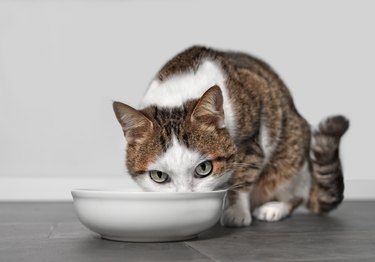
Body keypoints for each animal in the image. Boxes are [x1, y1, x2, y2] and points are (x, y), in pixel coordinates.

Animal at [112, 46, 350, 227]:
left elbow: (242, 176)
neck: (177, 97)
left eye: (204, 168)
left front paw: (236, 212)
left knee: (294, 192)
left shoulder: (252, 138)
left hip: (292, 151)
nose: (187, 197)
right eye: (159, 176)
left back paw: (274, 208)